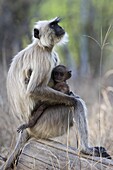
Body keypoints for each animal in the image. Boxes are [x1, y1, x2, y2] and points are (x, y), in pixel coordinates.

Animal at [2, 16, 110, 170]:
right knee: (74, 106)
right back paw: (85, 149)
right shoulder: (43, 57)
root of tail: (27, 127)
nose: (60, 28)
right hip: (44, 123)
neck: (41, 46)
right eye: (53, 25)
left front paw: (72, 93)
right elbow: (35, 89)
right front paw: (73, 98)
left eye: (57, 24)